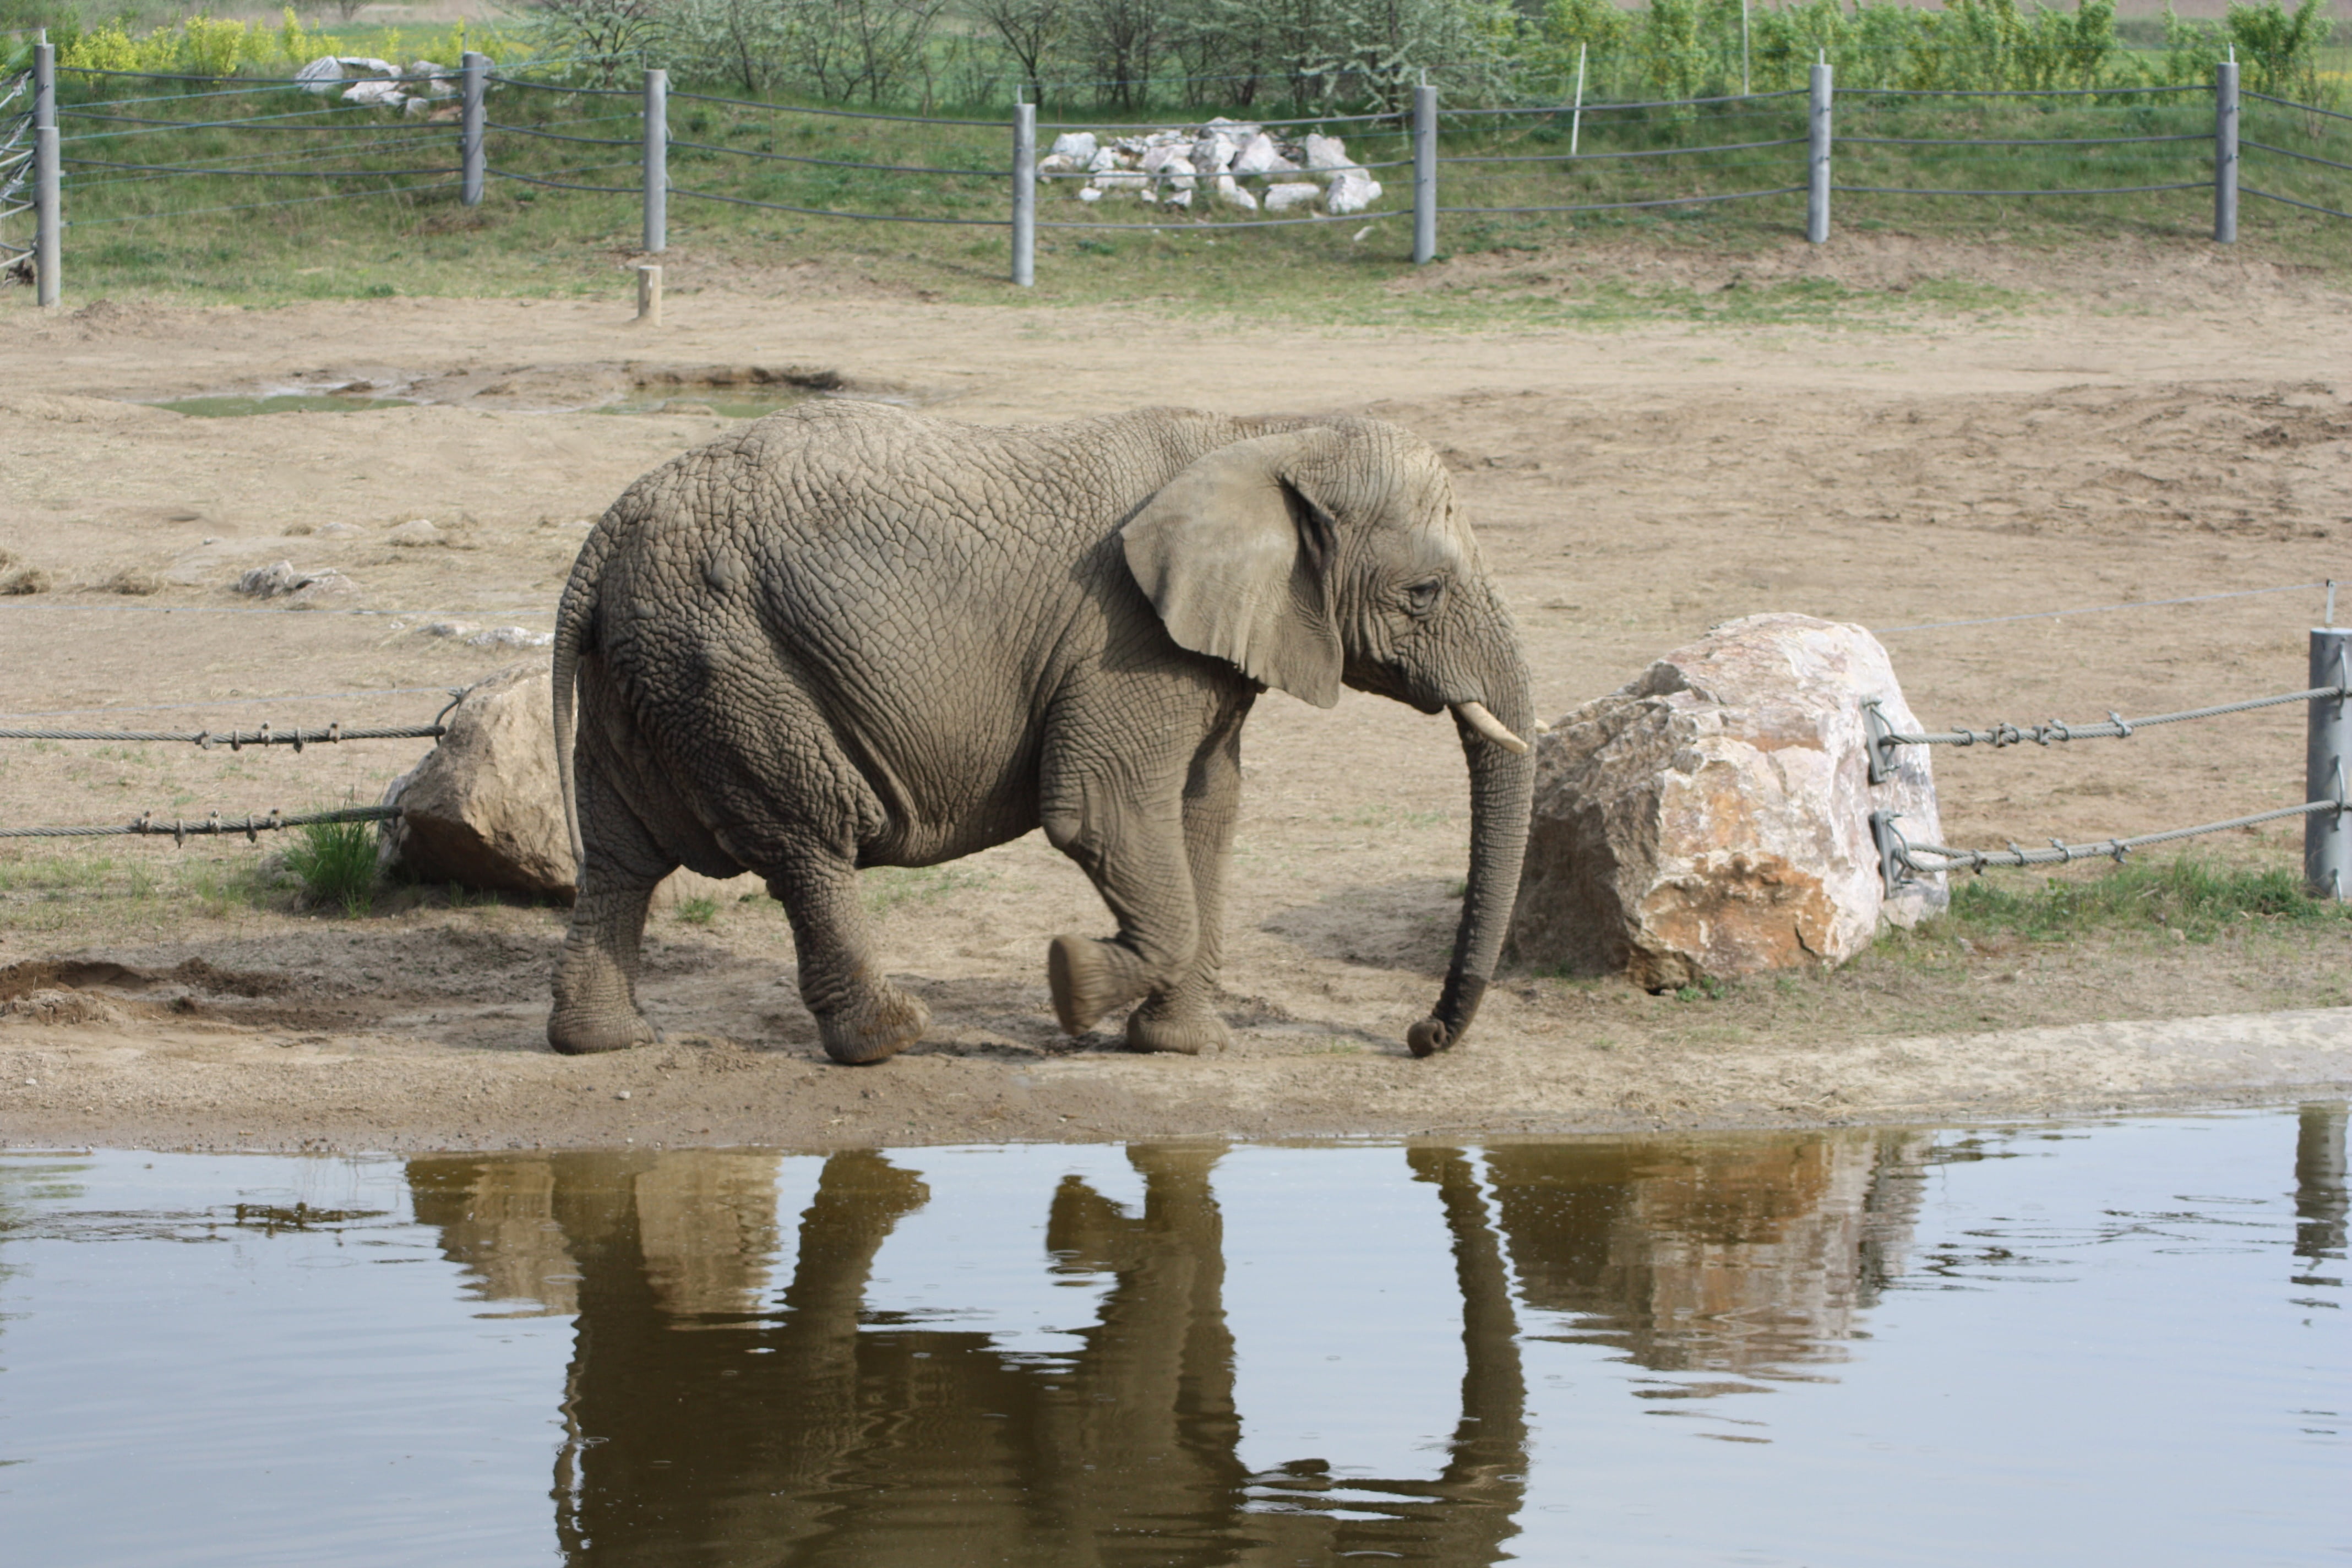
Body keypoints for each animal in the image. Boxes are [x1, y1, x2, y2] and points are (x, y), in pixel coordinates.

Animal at [546, 400, 1535, 1065]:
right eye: (1423, 595)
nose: (1419, 1033)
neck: (1268, 435)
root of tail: (602, 540)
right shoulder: (1128, 638)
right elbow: (1102, 809)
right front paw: (1071, 982)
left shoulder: (1207, 652)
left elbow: (1207, 811)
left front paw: (1180, 1047)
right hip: (727, 662)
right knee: (811, 834)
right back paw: (891, 1037)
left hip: (648, 671)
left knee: (620, 854)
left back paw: (605, 1042)